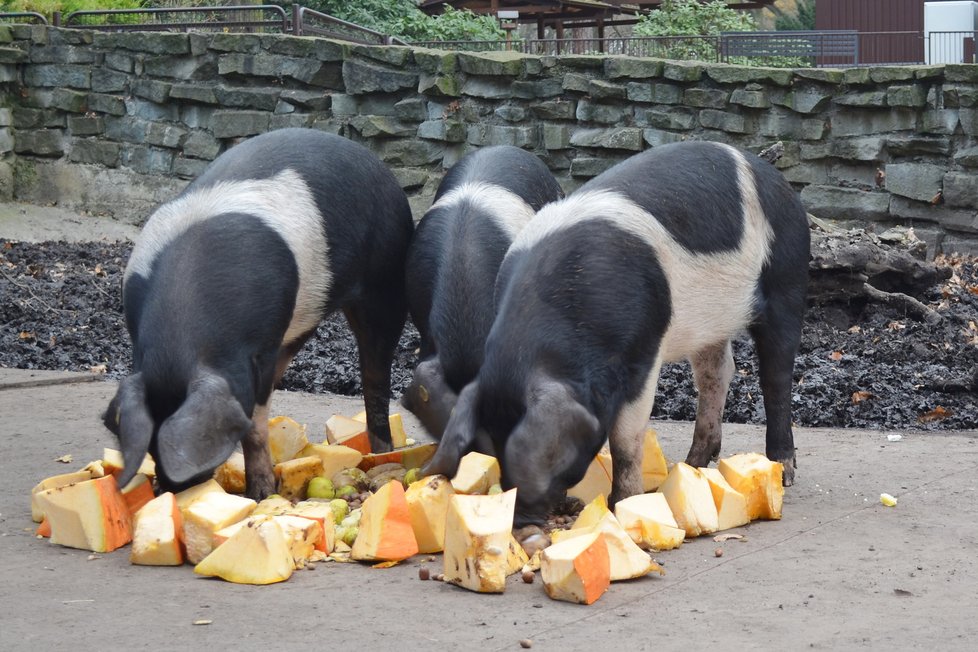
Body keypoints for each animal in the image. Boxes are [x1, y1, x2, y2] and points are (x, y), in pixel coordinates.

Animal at [105, 127, 414, 496]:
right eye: (151, 445)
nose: (173, 488)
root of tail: (380, 166)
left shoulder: (262, 346)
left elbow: (256, 421)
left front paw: (263, 494)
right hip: (303, 319)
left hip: (387, 284)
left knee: (375, 379)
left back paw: (383, 454)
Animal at [424, 143, 812, 552]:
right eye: (492, 444)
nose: (524, 523)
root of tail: (768, 171)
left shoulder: (644, 351)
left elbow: (626, 437)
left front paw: (622, 505)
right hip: (710, 325)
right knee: (717, 373)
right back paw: (692, 464)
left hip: (788, 277)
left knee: (776, 375)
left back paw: (783, 470)